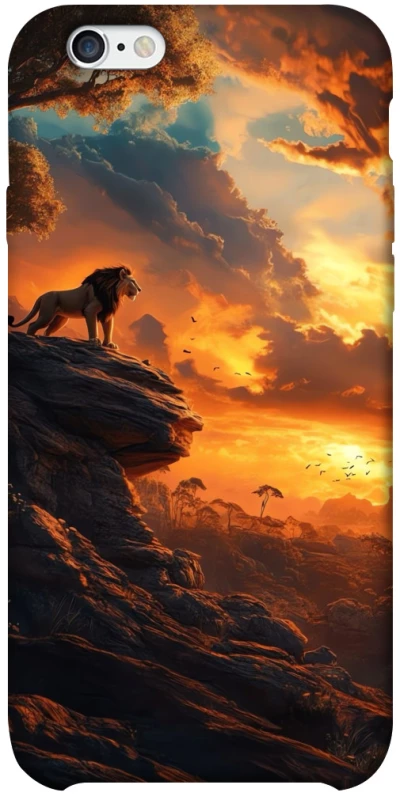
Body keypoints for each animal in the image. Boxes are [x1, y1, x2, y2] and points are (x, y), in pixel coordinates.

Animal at [8, 266, 141, 350]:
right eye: (133, 281)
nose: (140, 289)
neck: (113, 292)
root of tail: (41, 295)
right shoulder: (90, 310)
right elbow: (93, 327)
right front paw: (94, 340)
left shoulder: (107, 313)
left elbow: (109, 329)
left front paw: (109, 345)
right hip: (46, 314)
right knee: (32, 325)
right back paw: (30, 338)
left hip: (60, 320)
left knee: (47, 331)